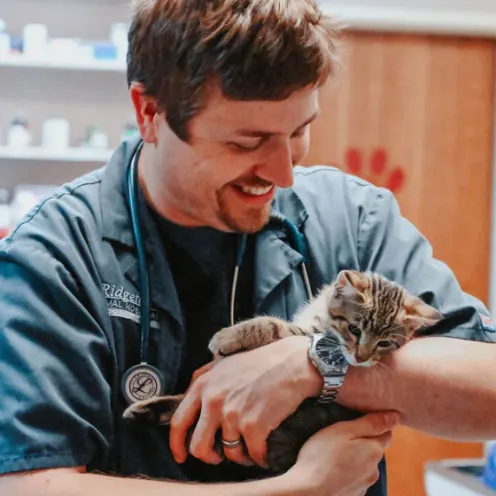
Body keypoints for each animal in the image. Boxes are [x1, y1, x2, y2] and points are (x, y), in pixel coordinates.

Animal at [124, 270, 442, 474]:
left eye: (385, 343)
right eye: (355, 328)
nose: (362, 358)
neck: (323, 321)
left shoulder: (303, 335)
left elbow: (274, 326)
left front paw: (230, 336)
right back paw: (146, 409)